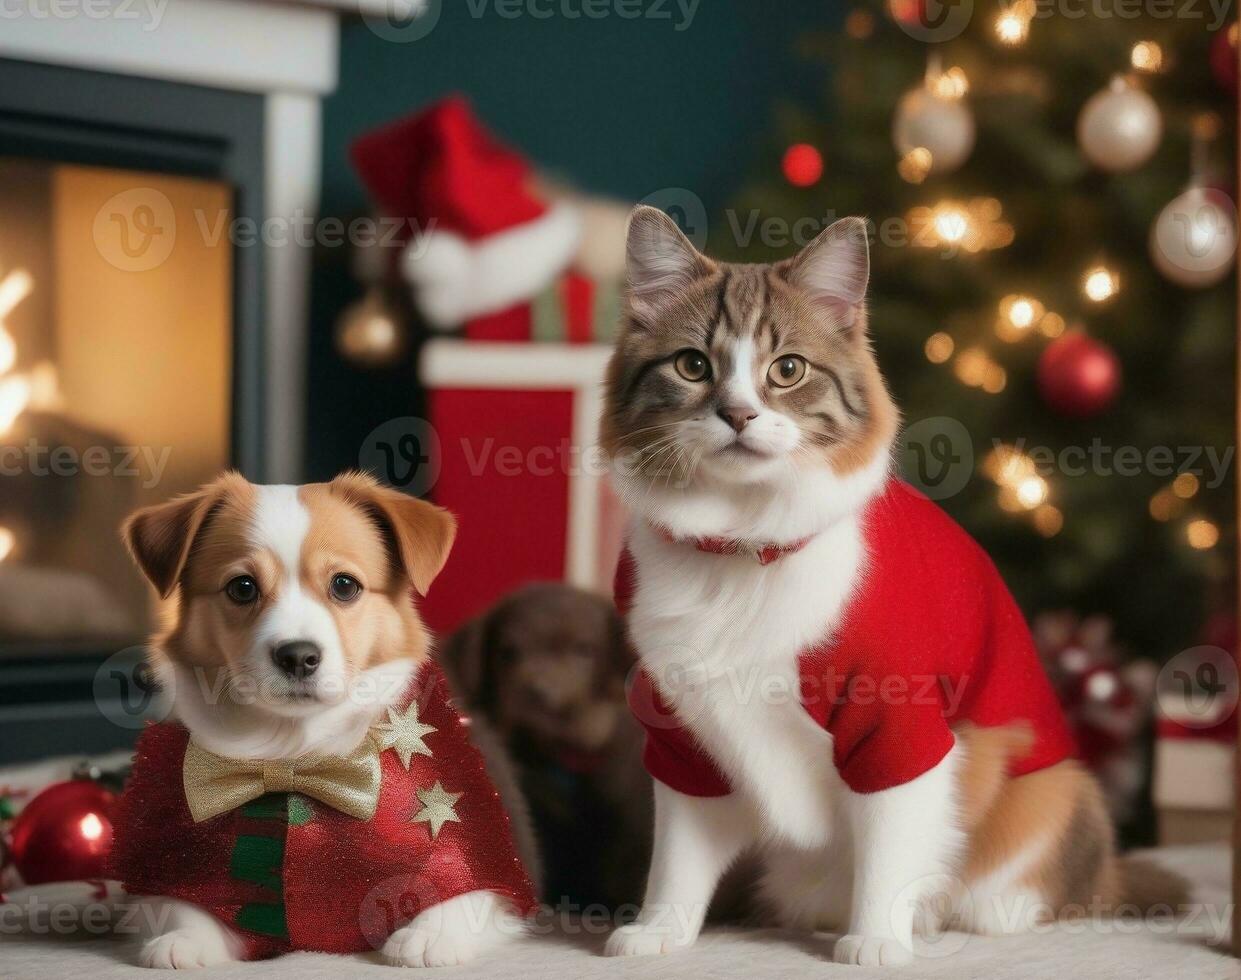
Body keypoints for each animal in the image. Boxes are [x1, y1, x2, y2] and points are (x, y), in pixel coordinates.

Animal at [114, 471, 541, 972]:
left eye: (344, 585)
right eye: (242, 587)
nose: (298, 656)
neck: (296, 752)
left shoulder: (482, 852)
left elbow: (465, 891)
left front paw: (429, 936)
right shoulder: (173, 856)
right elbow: (181, 903)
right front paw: (186, 939)